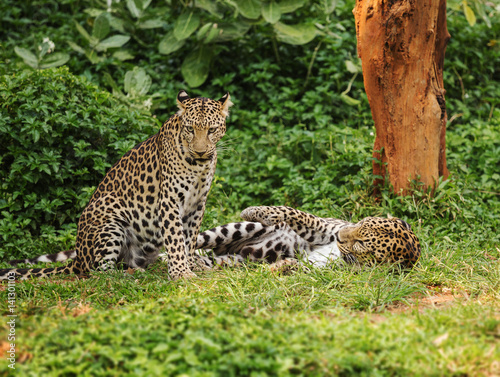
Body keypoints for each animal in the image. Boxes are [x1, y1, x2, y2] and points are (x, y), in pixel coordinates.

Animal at [0, 90, 233, 280]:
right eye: (190, 129)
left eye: (211, 130)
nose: (200, 151)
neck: (199, 165)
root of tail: (77, 257)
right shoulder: (169, 200)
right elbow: (175, 237)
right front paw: (181, 273)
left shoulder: (198, 203)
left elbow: (190, 238)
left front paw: (192, 265)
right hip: (111, 221)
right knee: (98, 271)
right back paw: (129, 275)